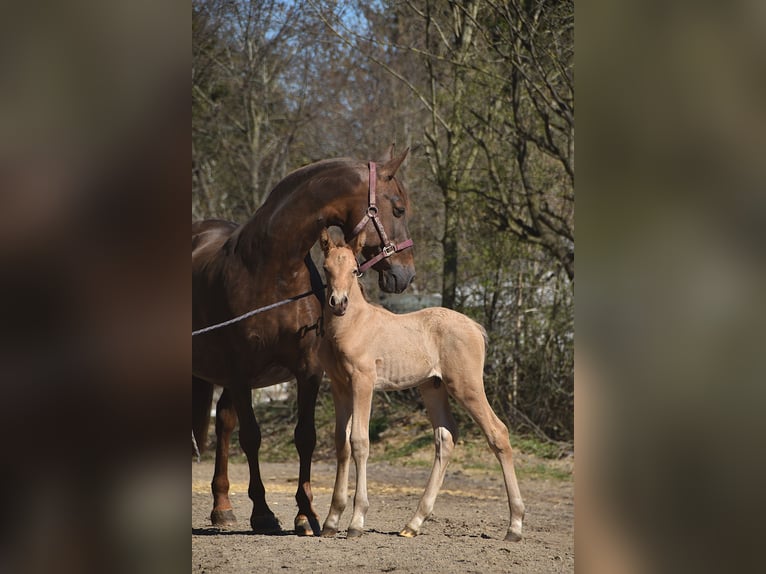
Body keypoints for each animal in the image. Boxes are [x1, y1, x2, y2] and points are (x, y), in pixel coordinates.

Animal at [192, 149, 416, 536]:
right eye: (398, 208)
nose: (406, 274)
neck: (273, 269)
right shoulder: (239, 373)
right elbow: (252, 437)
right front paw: (263, 513)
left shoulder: (308, 370)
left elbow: (305, 436)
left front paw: (306, 514)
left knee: (223, 425)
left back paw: (222, 507)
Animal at [317, 229, 525, 542]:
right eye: (326, 269)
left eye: (354, 270)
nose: (338, 303)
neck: (352, 325)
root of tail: (477, 328)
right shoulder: (340, 387)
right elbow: (341, 444)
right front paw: (331, 521)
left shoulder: (363, 383)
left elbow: (360, 442)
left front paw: (356, 521)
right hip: (432, 386)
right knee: (446, 437)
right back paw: (413, 523)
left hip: (466, 386)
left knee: (497, 433)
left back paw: (515, 525)